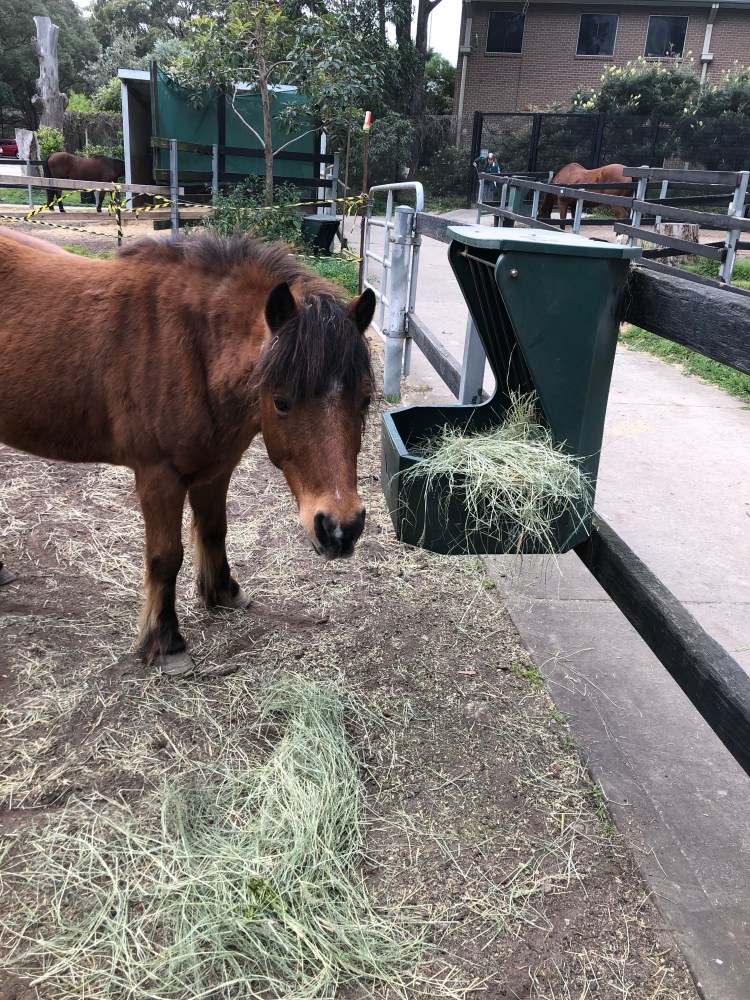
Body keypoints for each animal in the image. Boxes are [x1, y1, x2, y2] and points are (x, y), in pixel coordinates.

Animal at [0, 231, 376, 675]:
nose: (340, 529)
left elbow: (214, 530)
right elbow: (166, 557)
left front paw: (223, 591)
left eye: (365, 400)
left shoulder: (216, 469)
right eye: (281, 402)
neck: (190, 349)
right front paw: (166, 643)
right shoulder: (157, 477)